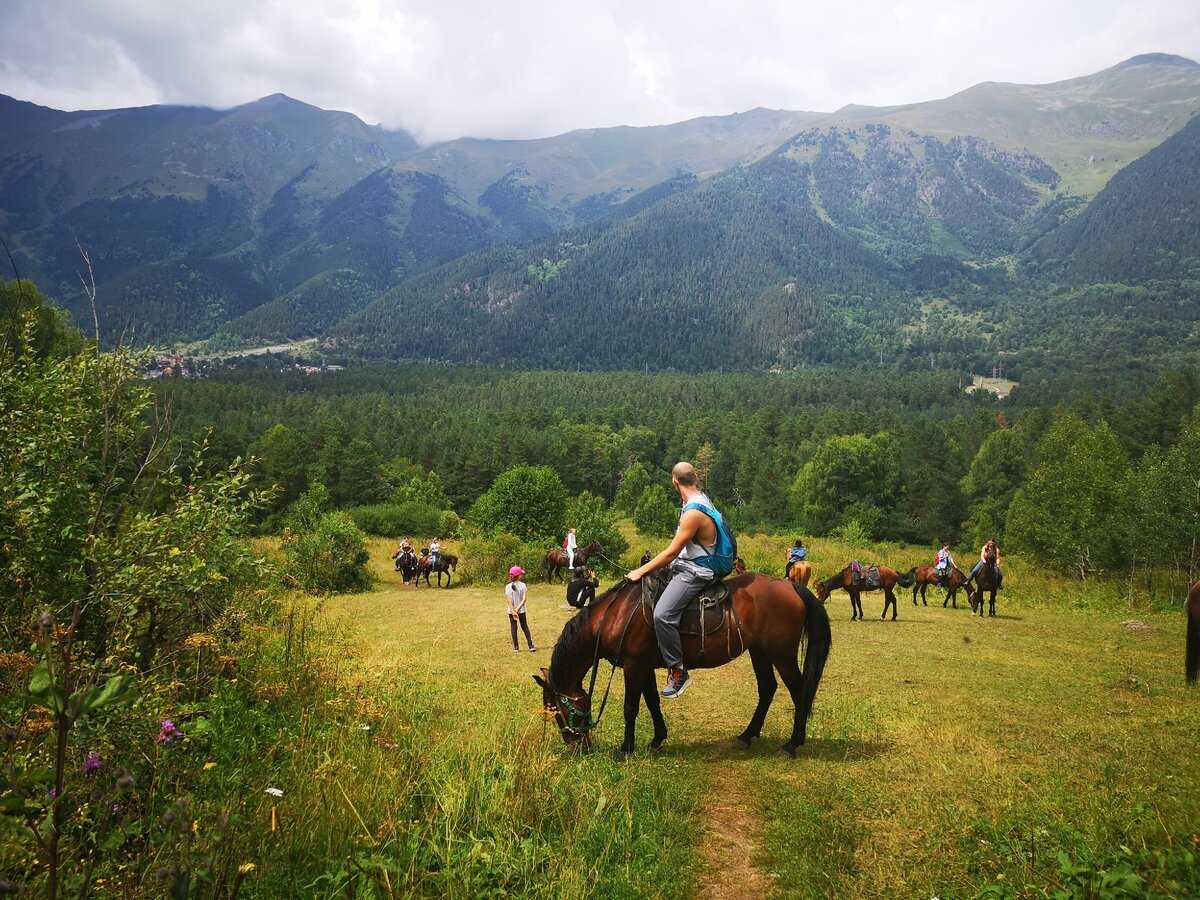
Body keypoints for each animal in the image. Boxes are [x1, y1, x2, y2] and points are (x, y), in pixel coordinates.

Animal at [530, 573, 830, 758]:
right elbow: (652, 702)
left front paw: (626, 748)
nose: (575, 746)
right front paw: (656, 740)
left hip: (782, 654)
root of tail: (790, 585)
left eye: (557, 710)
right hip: (760, 652)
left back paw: (792, 744)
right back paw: (747, 735)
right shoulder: (643, 666)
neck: (616, 615)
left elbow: (631, 707)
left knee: (799, 692)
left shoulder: (633, 665)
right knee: (767, 688)